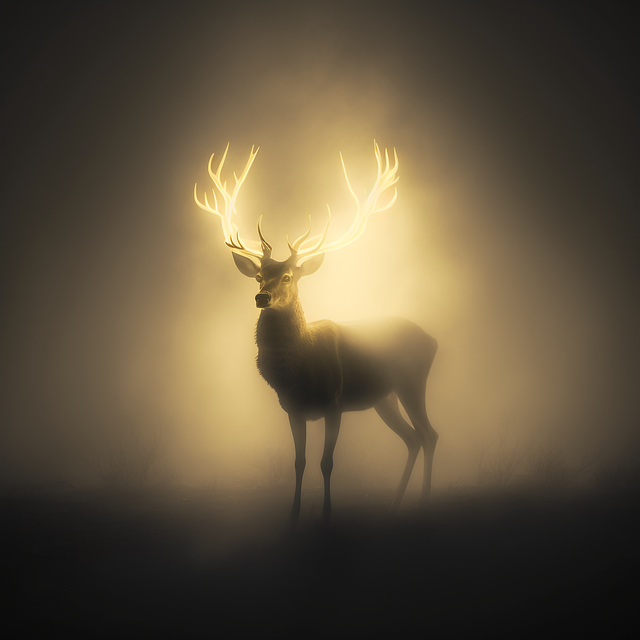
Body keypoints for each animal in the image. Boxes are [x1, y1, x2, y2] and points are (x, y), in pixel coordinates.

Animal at [194, 141, 438, 522]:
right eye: (258, 276)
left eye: (288, 277)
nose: (261, 297)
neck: (299, 369)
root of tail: (433, 340)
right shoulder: (293, 409)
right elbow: (300, 462)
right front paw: (293, 515)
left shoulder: (334, 403)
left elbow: (326, 463)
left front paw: (326, 515)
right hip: (384, 398)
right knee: (412, 438)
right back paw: (395, 505)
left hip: (412, 381)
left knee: (429, 435)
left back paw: (423, 501)